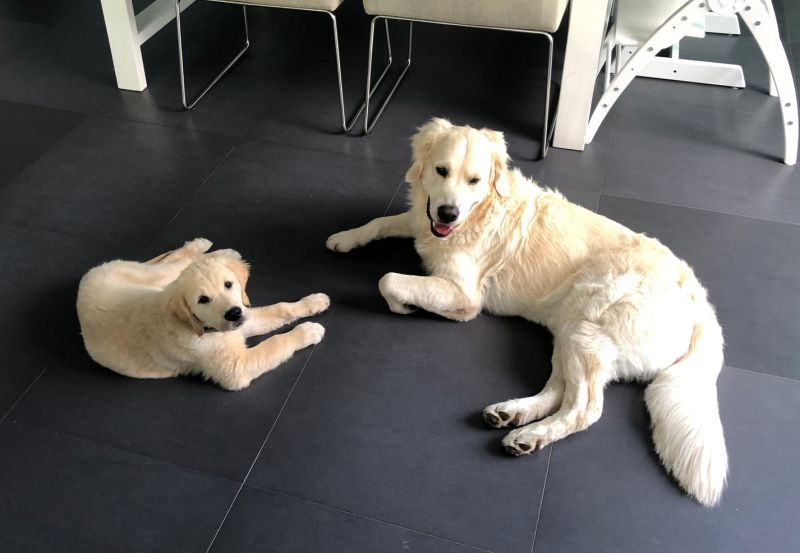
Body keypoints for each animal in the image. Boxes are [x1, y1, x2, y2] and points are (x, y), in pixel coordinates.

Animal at [77, 238, 328, 391]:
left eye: (229, 284)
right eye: (202, 300)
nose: (234, 313)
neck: (202, 328)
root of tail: (89, 275)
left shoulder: (242, 321)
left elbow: (281, 308)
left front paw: (314, 302)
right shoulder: (236, 368)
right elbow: (275, 343)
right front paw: (308, 331)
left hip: (157, 278)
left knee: (174, 260)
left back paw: (217, 252)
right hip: (158, 279)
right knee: (174, 262)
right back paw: (212, 250)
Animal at [326, 118, 728, 506]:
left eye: (474, 180)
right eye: (441, 170)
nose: (448, 213)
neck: (479, 212)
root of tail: (702, 306)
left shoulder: (464, 293)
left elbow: (388, 280)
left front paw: (403, 304)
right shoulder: (421, 220)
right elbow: (384, 221)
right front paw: (345, 237)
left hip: (587, 323)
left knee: (584, 408)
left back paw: (531, 434)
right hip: (570, 326)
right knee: (558, 391)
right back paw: (513, 415)